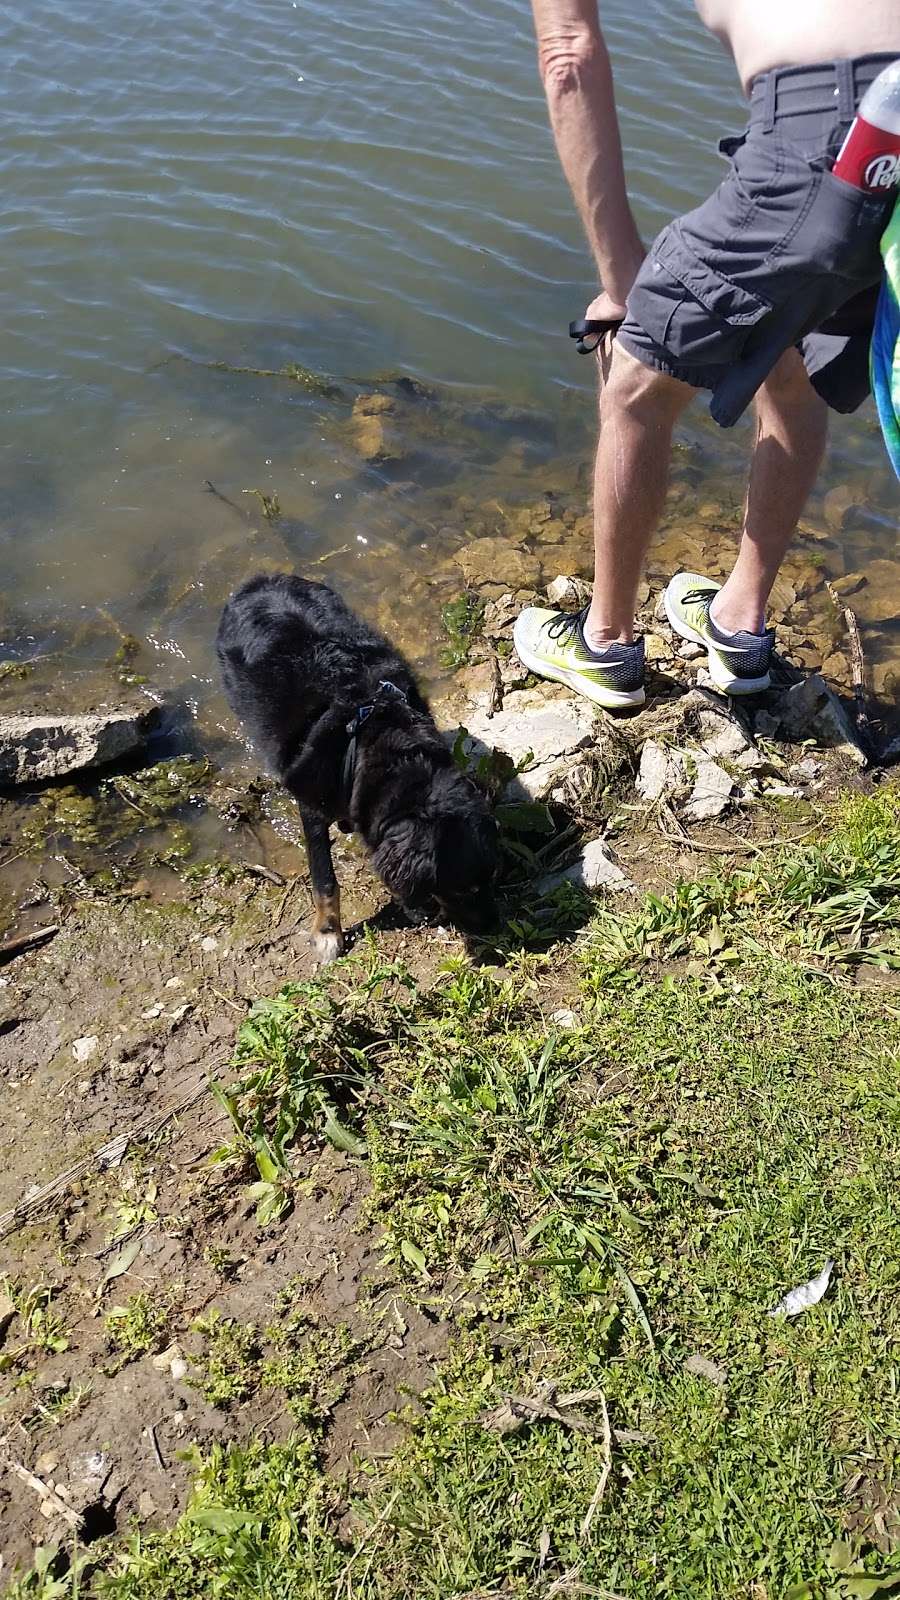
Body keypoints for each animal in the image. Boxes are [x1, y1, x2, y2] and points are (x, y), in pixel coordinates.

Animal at [217, 576, 496, 960]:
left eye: (491, 878)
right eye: (464, 889)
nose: (494, 926)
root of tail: (258, 582)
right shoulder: (311, 807)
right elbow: (324, 880)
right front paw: (327, 932)